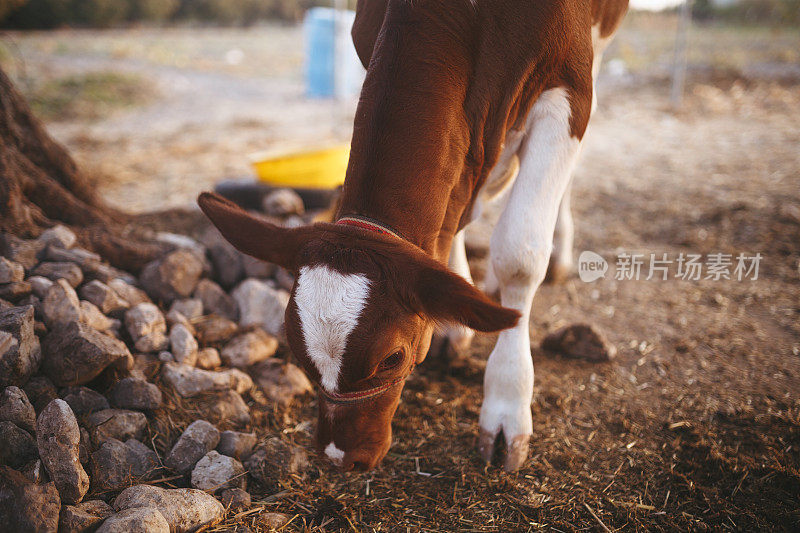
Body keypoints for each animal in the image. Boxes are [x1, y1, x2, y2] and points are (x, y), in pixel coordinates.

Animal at [198, 0, 624, 472]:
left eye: (392, 359)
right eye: (293, 346)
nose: (340, 456)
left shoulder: (569, 84)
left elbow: (519, 255)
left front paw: (506, 408)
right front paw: (452, 326)